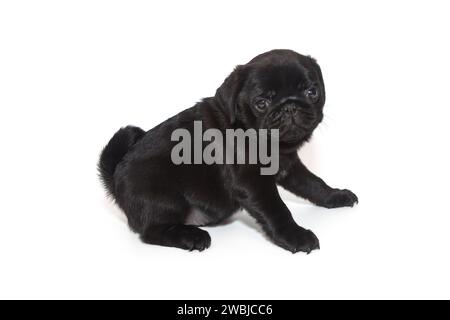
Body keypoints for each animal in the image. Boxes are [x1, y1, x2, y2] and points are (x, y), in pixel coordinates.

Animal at [99, 48, 358, 254]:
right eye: (262, 103)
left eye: (312, 92)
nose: (290, 106)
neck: (271, 145)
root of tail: (115, 177)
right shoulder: (252, 183)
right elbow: (278, 210)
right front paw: (296, 236)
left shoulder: (289, 167)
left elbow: (314, 184)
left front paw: (335, 195)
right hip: (163, 198)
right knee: (151, 231)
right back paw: (190, 236)